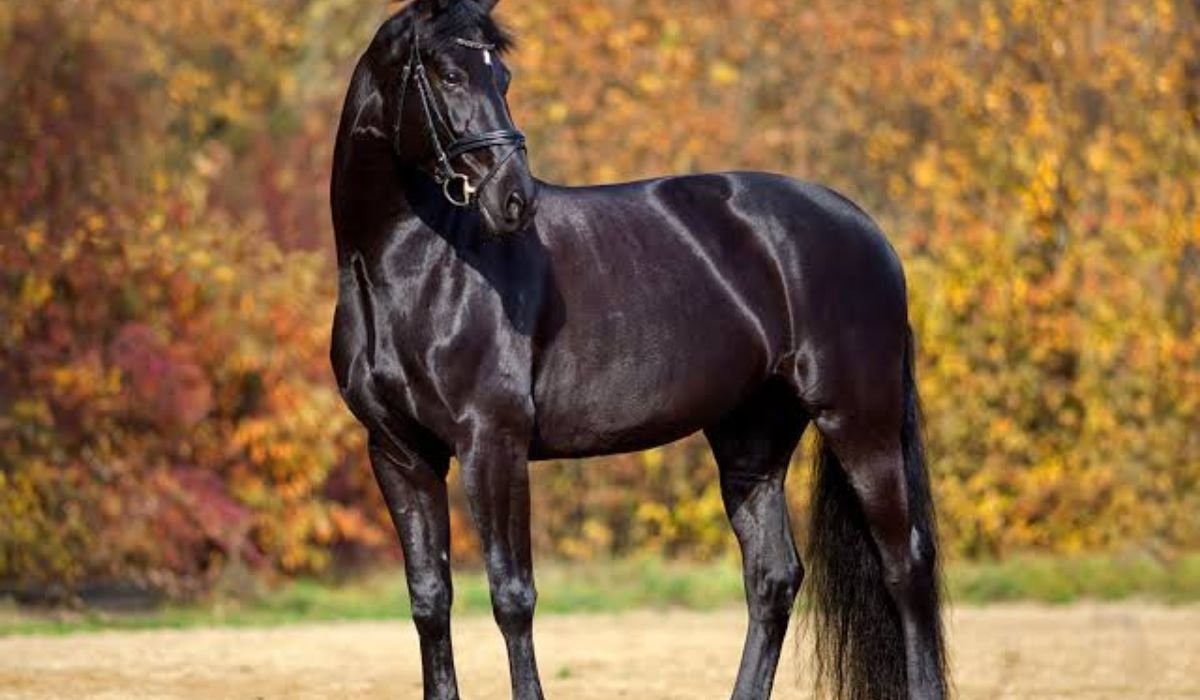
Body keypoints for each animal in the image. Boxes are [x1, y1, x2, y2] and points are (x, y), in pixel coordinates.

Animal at [329, 1, 948, 698]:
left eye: (503, 76)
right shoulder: (400, 453)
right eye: (449, 74)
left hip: (859, 420)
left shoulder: (492, 442)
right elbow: (429, 600)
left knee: (905, 564)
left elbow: (512, 596)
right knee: (773, 577)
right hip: (752, 437)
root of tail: (869, 232)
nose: (515, 199)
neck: (415, 269)